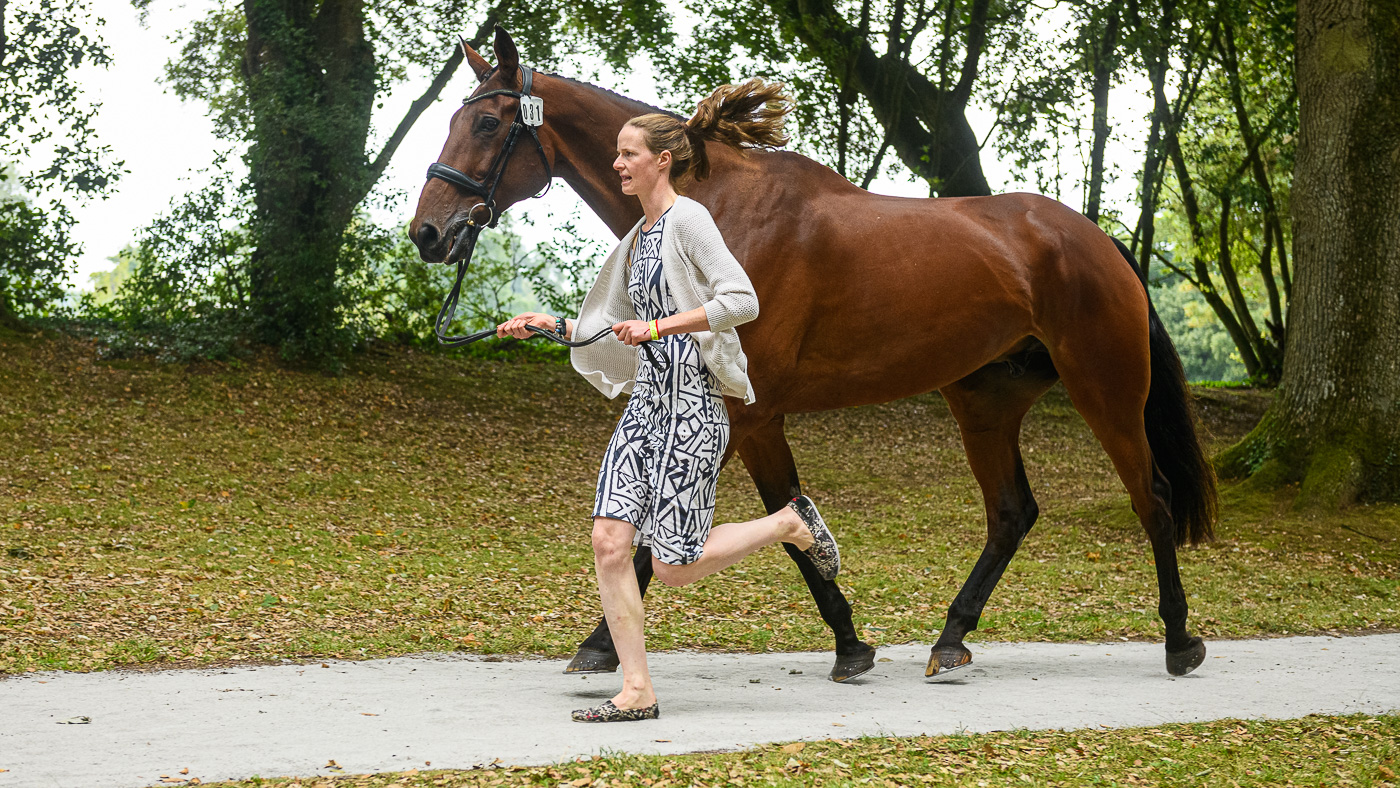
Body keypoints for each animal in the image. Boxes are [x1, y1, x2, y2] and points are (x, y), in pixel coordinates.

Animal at [410, 27, 1217, 682]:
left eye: (487, 121)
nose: (428, 232)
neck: (722, 211)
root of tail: (1096, 240)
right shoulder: (741, 416)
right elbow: (736, 523)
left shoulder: (748, 414)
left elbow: (747, 527)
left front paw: (846, 647)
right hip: (984, 402)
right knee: (1013, 512)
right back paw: (952, 638)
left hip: (1105, 388)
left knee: (1151, 496)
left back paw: (1180, 642)